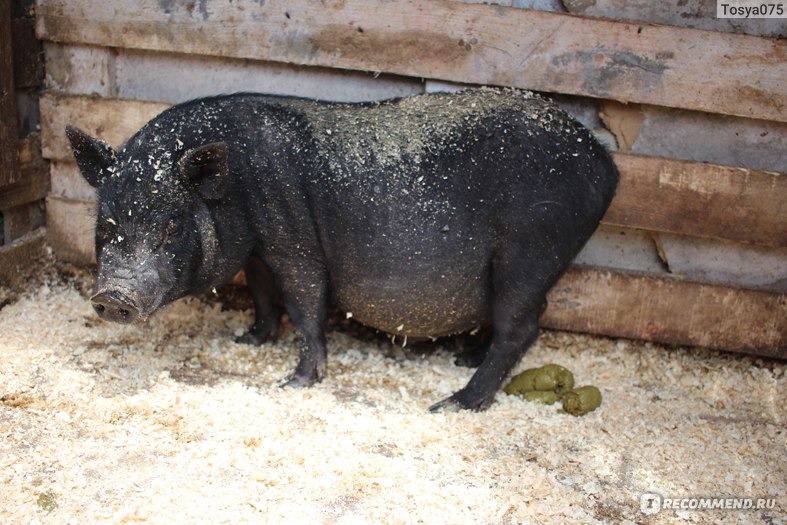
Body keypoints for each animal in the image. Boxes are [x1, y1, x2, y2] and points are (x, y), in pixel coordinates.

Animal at [66, 89, 620, 410]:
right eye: (107, 226)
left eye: (170, 229)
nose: (112, 297)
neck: (238, 189)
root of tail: (605, 164)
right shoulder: (259, 250)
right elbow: (263, 294)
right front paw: (249, 341)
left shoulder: (294, 241)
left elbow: (304, 304)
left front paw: (294, 384)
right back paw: (463, 360)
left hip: (531, 253)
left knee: (521, 327)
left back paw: (454, 402)